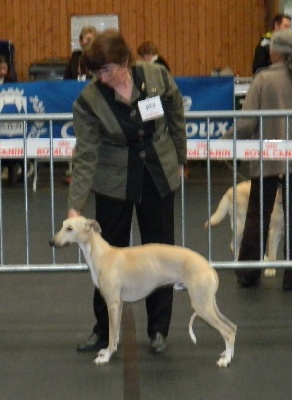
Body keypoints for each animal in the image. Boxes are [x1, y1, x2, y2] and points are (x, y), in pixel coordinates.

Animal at [50, 217, 237, 368]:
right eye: (62, 225)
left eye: (70, 228)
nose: (51, 242)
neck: (103, 255)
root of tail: (209, 267)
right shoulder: (119, 304)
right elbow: (115, 333)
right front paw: (107, 351)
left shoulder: (112, 303)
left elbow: (111, 333)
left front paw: (106, 357)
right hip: (208, 303)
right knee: (232, 327)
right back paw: (227, 354)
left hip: (201, 306)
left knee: (227, 331)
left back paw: (225, 361)